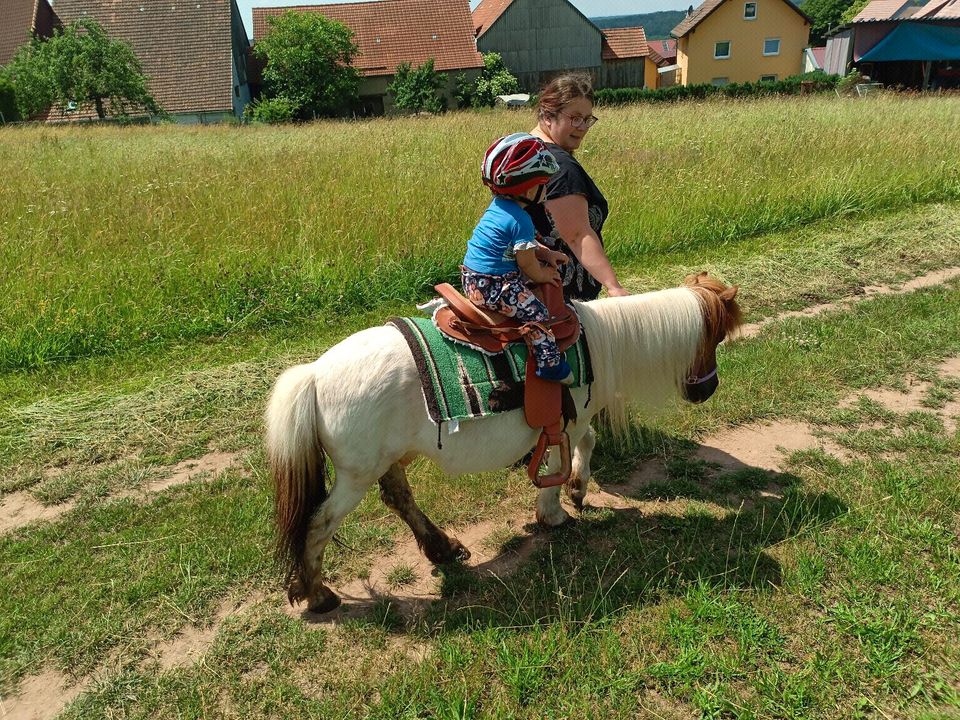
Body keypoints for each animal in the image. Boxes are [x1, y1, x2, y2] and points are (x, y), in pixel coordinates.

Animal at [264, 272, 744, 612]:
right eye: (716, 336)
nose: (707, 390)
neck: (601, 343)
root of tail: (314, 374)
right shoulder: (567, 423)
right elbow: (562, 462)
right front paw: (555, 513)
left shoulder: (573, 421)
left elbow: (584, 446)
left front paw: (578, 490)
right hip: (355, 475)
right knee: (319, 523)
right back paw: (318, 594)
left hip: (390, 458)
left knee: (398, 496)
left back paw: (443, 548)